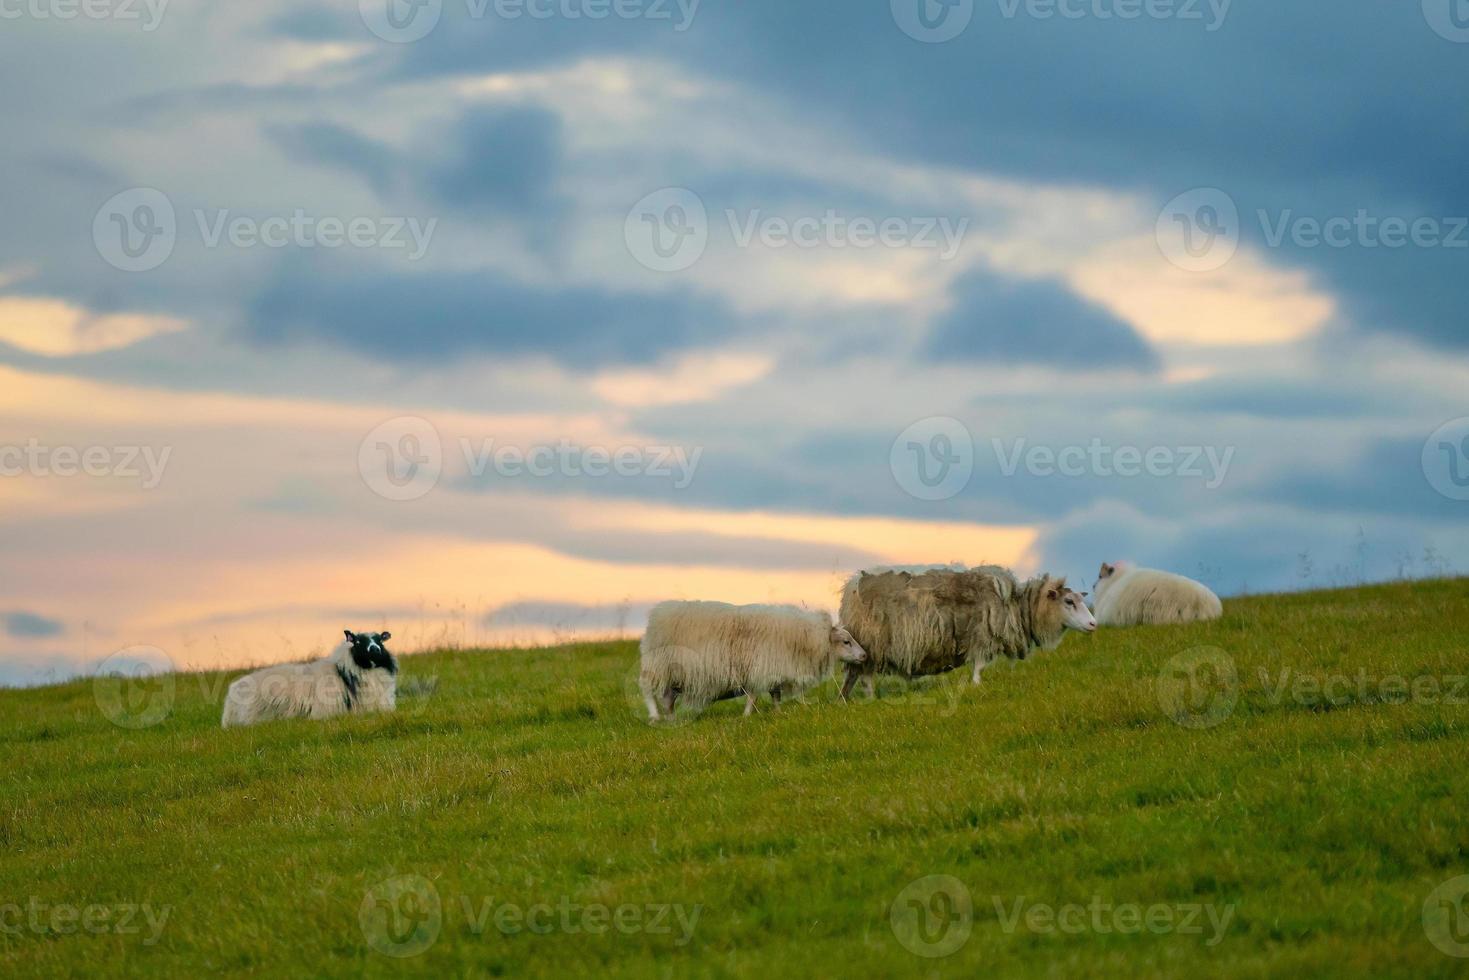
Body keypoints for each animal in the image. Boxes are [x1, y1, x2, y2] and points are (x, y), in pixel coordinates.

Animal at [637, 599, 863, 719]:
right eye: (846, 641)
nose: (865, 655)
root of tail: (658, 614)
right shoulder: (760, 668)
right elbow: (754, 695)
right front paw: (746, 716)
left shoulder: (772, 671)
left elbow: (775, 694)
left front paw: (777, 712)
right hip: (658, 665)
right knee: (648, 690)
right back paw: (655, 717)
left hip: (675, 674)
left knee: (668, 698)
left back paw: (671, 718)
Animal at [834, 567, 1098, 696]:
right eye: (1069, 602)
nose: (1094, 624)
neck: (1016, 606)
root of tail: (852, 587)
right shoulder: (982, 638)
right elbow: (979, 667)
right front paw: (977, 687)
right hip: (872, 644)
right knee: (865, 678)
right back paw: (870, 699)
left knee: (853, 678)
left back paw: (845, 700)